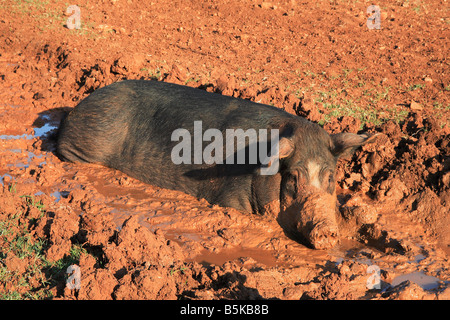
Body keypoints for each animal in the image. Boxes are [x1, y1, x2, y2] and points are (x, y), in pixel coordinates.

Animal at [58, 79, 378, 249]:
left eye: (331, 177)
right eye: (293, 178)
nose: (327, 231)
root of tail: (76, 109)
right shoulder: (229, 198)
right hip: (84, 147)